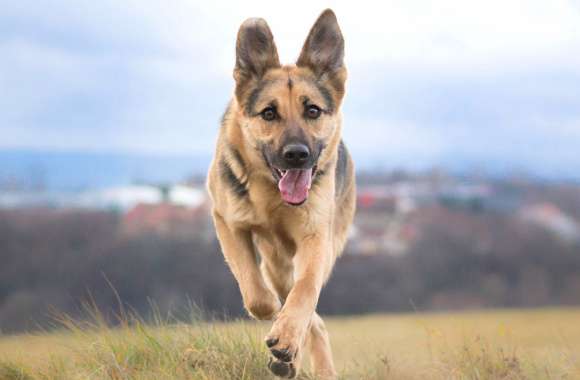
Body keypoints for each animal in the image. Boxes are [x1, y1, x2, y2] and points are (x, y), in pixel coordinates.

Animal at [206, 9, 356, 380]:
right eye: (269, 113)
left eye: (313, 110)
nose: (297, 155)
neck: (272, 199)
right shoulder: (228, 223)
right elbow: (256, 294)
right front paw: (274, 319)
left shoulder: (315, 239)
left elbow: (304, 293)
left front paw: (286, 337)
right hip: (275, 264)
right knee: (298, 307)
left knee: (310, 309)